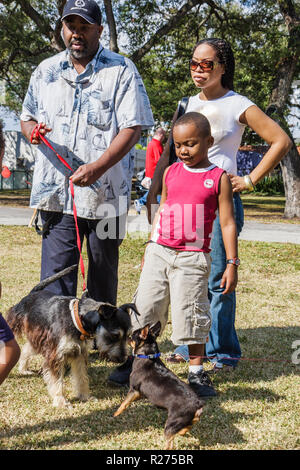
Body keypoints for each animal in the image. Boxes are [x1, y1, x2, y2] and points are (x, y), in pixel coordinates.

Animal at [6, 266, 138, 410]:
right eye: (115, 335)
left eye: (128, 336)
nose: (122, 358)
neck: (79, 319)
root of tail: (32, 293)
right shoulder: (55, 355)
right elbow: (57, 381)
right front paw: (61, 401)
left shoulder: (79, 353)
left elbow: (81, 377)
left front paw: (85, 396)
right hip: (15, 325)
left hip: (38, 338)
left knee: (26, 348)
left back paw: (23, 369)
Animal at [113, 322, 205, 450]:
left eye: (131, 337)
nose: (126, 337)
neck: (148, 356)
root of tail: (197, 403)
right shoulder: (139, 393)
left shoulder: (134, 390)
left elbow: (124, 403)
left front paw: (115, 414)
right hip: (184, 421)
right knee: (190, 424)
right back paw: (183, 432)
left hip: (171, 423)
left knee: (169, 442)